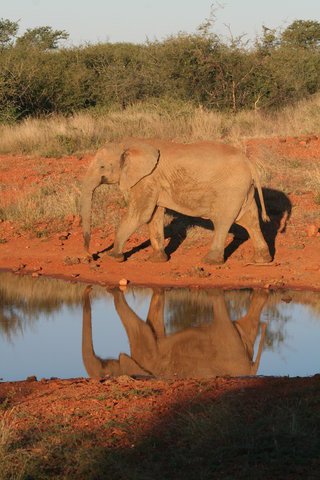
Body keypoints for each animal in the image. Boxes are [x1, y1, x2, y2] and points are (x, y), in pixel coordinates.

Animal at [80, 139, 270, 264]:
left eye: (102, 167)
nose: (90, 256)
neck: (128, 144)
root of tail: (249, 163)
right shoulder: (153, 182)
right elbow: (154, 216)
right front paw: (158, 260)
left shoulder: (146, 179)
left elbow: (140, 215)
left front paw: (113, 258)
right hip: (243, 189)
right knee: (249, 220)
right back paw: (262, 260)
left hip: (230, 189)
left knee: (223, 221)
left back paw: (210, 262)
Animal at [82, 284, 268, 378]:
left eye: (105, 375)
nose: (89, 288)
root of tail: (250, 371)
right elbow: (153, 324)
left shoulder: (147, 357)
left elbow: (143, 328)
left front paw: (111, 288)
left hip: (228, 345)